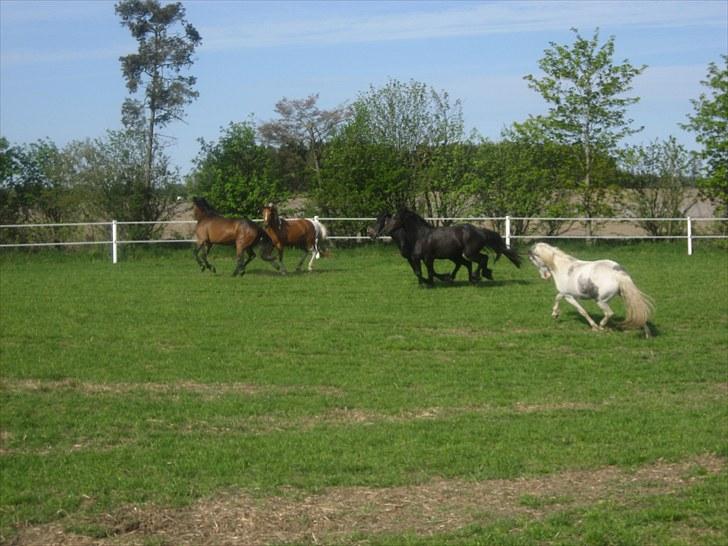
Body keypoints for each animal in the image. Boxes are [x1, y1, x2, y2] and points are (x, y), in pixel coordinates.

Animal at [528, 242, 656, 336]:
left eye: (533, 259)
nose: (545, 277)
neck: (563, 268)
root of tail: (618, 274)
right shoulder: (570, 295)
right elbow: (559, 298)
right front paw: (555, 314)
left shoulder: (568, 295)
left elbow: (580, 310)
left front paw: (594, 326)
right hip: (624, 294)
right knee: (638, 311)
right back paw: (647, 334)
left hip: (601, 301)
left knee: (609, 313)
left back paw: (601, 326)